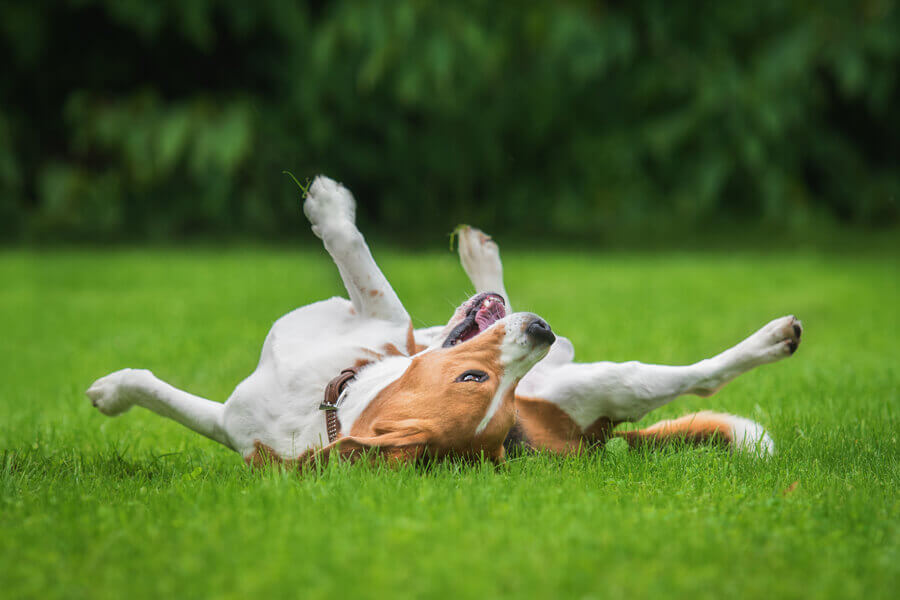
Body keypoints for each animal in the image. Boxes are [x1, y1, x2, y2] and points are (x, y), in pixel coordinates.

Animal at [86, 175, 800, 464]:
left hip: (609, 382)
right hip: (568, 362)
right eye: (474, 383)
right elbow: (160, 393)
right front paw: (111, 392)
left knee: (699, 376)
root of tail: (596, 441)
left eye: (494, 394)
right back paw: (487, 268)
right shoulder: (232, 421)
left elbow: (356, 256)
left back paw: (771, 340)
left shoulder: (384, 315)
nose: (534, 335)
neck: (327, 400)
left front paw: (328, 207)